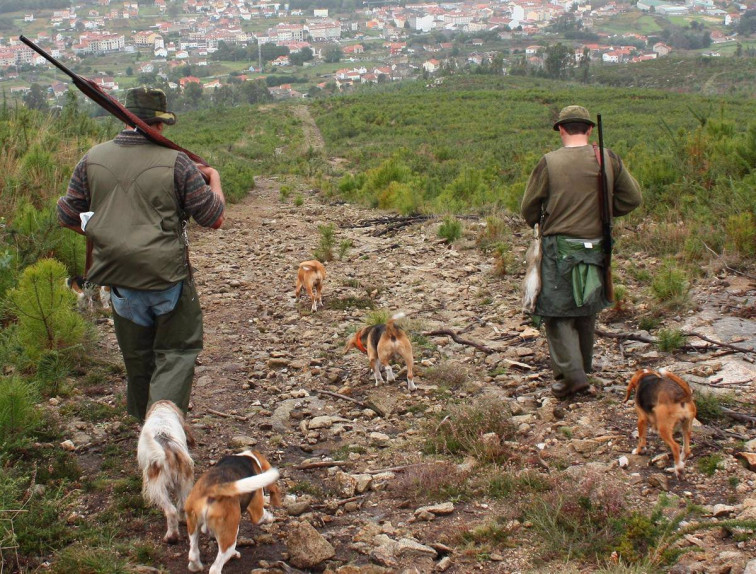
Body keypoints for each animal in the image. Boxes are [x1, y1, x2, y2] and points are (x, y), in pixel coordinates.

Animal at [137, 400, 195, 544]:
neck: (162, 412)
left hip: (158, 489)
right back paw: (182, 520)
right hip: (184, 484)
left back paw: (171, 537)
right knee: (182, 505)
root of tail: (170, 451)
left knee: (171, 511)